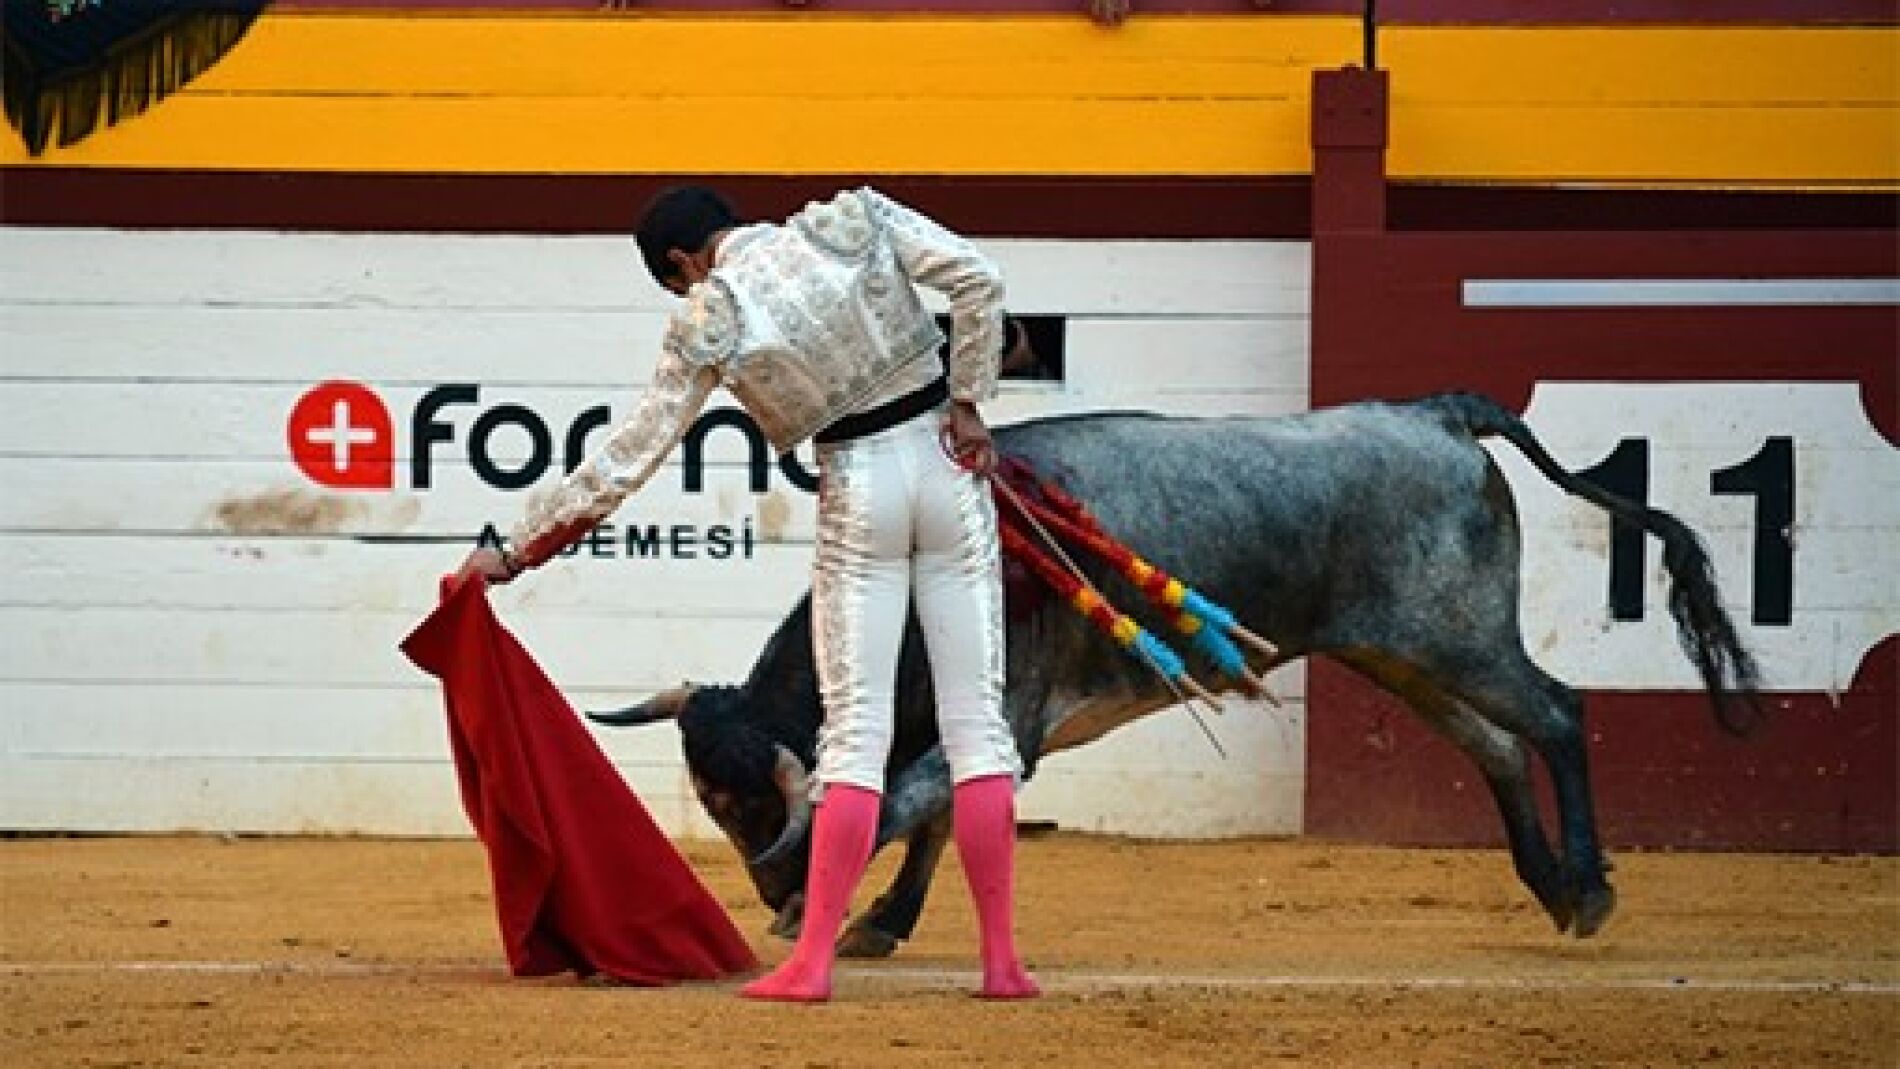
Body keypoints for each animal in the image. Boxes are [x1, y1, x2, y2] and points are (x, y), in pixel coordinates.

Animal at [590, 393, 1761, 956]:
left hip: (1458, 633)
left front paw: (824, 914)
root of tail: (1434, 412)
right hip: (1399, 650)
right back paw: (1555, 888)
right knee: (1499, 746)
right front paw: (876, 922)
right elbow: (933, 816)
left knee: (1556, 713)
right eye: (712, 799)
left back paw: (1592, 887)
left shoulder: (1000, 719)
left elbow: (910, 804)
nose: (771, 889)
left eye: (748, 803)